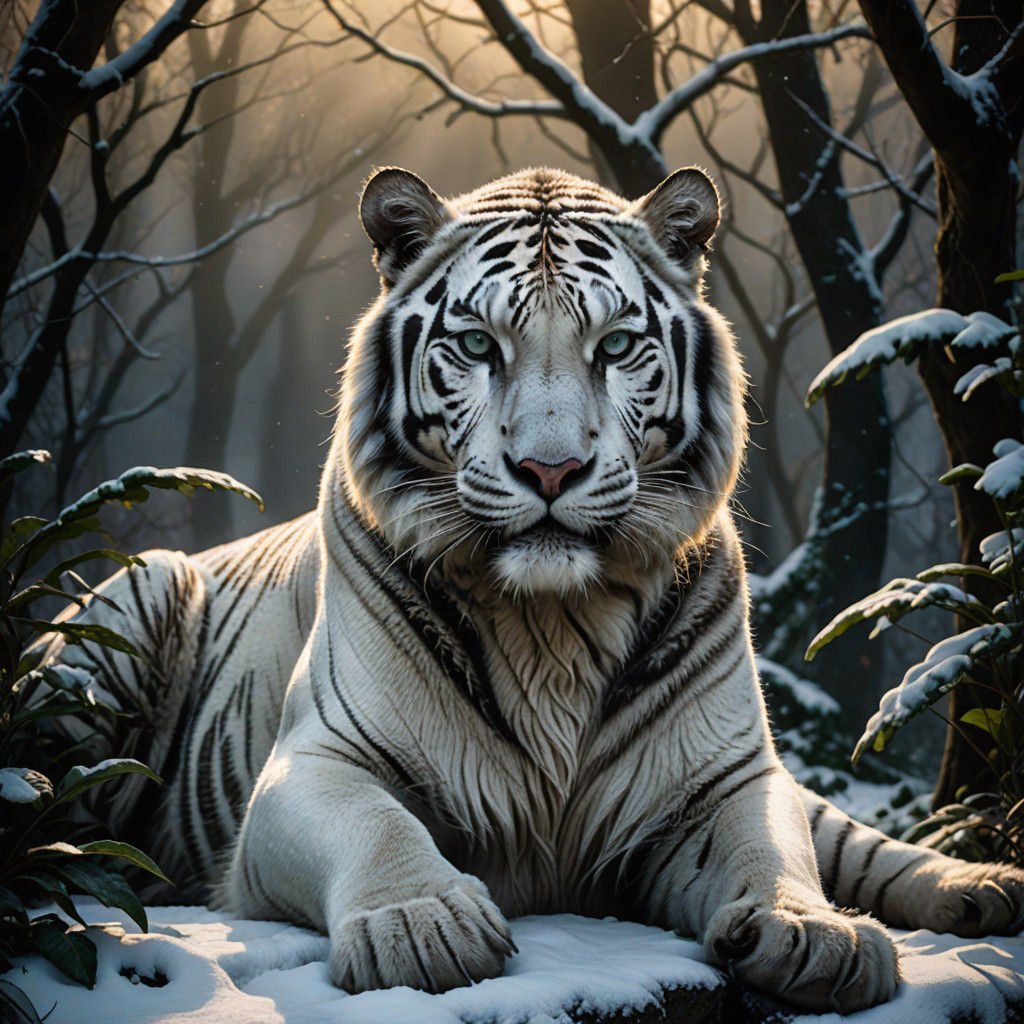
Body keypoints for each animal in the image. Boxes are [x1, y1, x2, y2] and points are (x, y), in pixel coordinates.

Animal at [45, 165, 1024, 1013]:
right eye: (478, 344)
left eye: (616, 345)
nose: (550, 470)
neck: (554, 619)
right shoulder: (316, 762)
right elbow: (378, 824)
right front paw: (422, 923)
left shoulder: (724, 775)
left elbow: (774, 849)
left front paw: (813, 932)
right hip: (127, 615)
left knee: (847, 836)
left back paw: (982, 889)